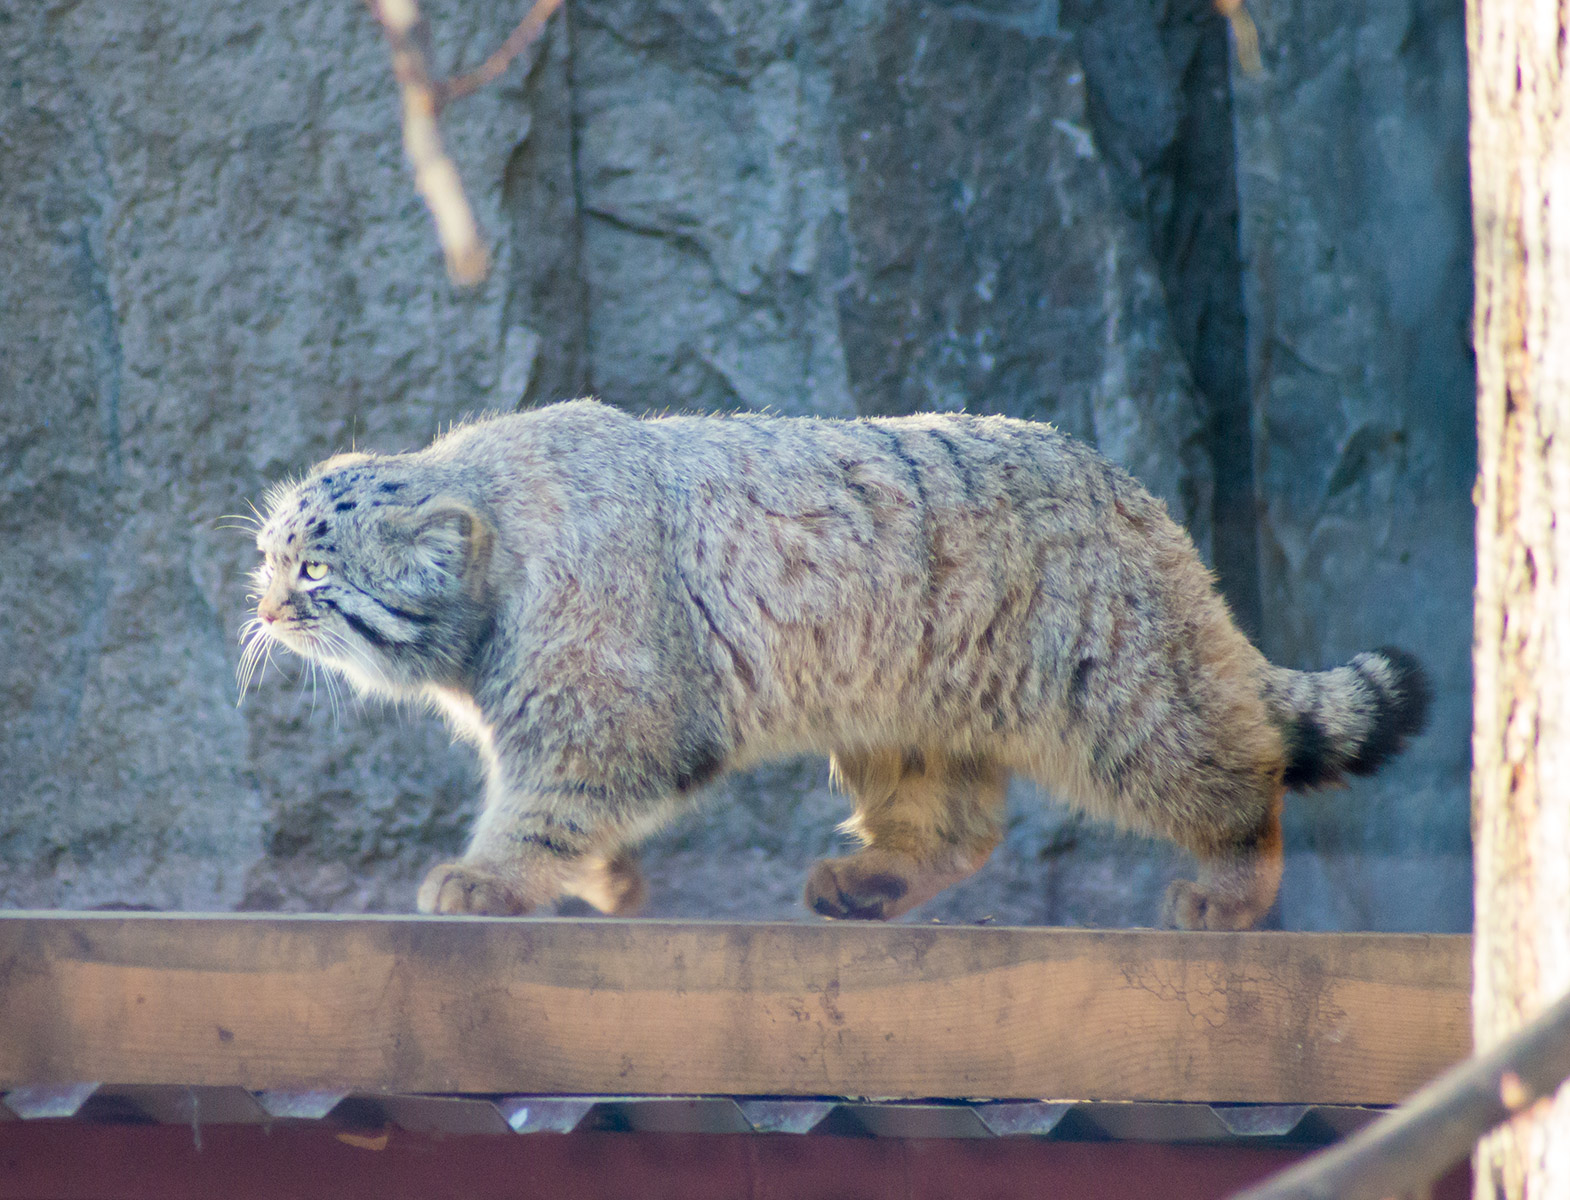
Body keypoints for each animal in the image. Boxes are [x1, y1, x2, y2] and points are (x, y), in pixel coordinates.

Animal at [241, 402, 1425, 929]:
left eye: (313, 570)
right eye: (270, 554)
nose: (258, 608)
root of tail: (1138, 499)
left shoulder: (607, 708)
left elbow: (548, 805)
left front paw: (487, 878)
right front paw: (603, 881)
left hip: (1121, 693)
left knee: (1240, 768)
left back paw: (1231, 886)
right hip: (907, 709)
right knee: (955, 828)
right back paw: (875, 878)